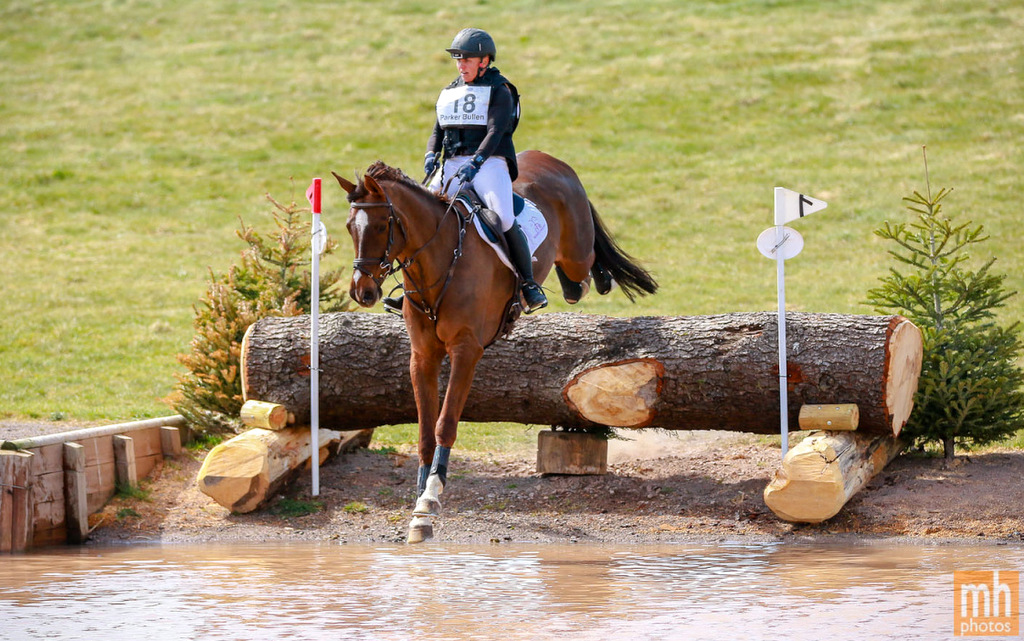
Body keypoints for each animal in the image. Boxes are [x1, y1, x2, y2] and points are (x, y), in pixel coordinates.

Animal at [333, 149, 657, 543]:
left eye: (382, 227)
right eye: (350, 227)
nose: (362, 292)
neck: (438, 263)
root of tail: (551, 159)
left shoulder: (466, 351)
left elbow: (445, 424)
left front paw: (430, 501)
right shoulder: (422, 357)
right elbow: (425, 431)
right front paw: (418, 504)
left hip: (576, 254)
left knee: (584, 270)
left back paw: (587, 281)